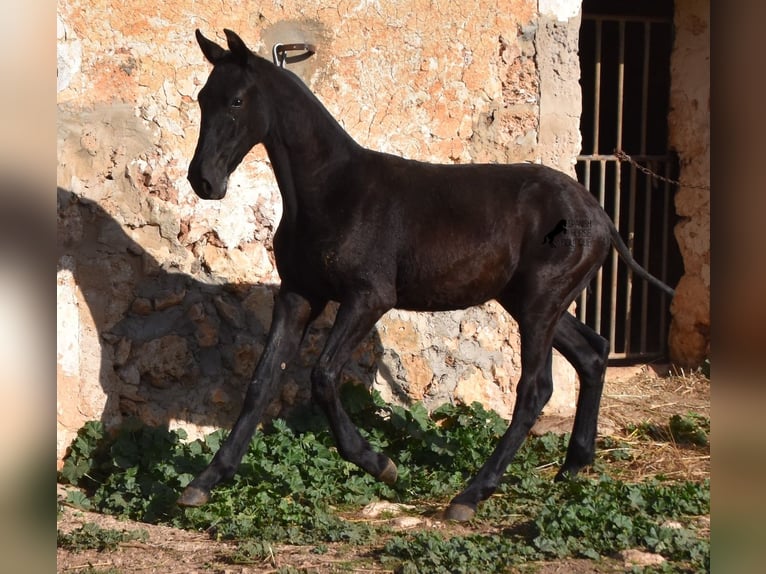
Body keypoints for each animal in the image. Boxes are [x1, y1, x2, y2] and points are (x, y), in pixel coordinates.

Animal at [177, 30, 676, 520]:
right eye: (202, 98)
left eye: (236, 101)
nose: (203, 180)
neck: (331, 191)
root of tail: (599, 213)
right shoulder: (299, 295)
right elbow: (260, 383)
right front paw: (203, 482)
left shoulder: (369, 297)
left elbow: (323, 375)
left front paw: (380, 464)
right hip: (534, 303)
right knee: (593, 353)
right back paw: (573, 466)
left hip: (539, 305)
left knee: (535, 388)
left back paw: (471, 495)